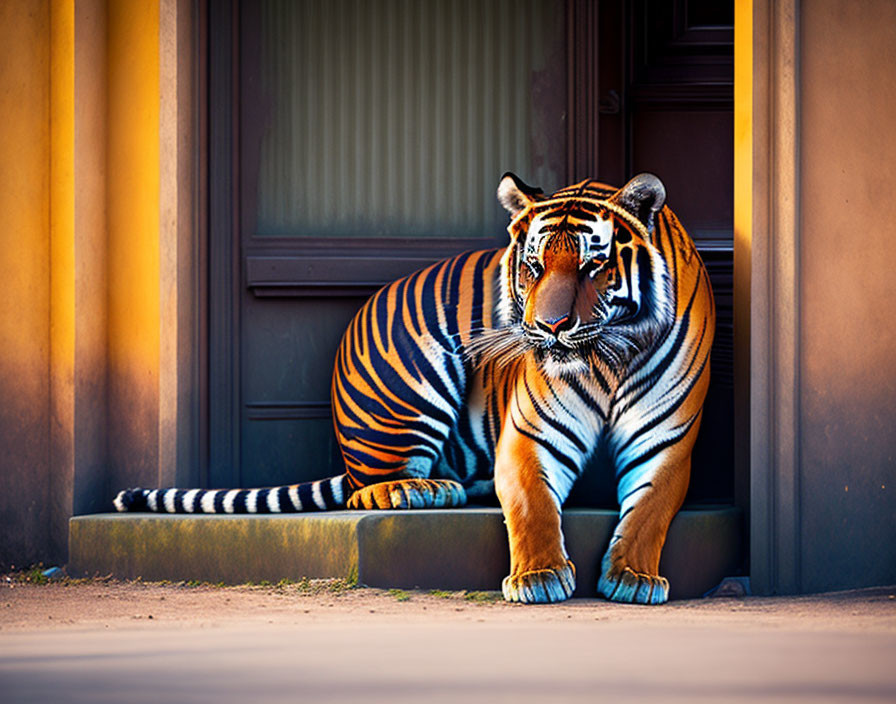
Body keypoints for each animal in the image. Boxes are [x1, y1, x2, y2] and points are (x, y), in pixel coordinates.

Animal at [115, 175, 712, 604]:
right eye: (532, 267)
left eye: (594, 265)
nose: (548, 328)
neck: (608, 359)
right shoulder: (530, 435)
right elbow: (532, 504)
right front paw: (539, 577)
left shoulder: (666, 441)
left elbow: (648, 512)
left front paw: (633, 577)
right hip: (416, 385)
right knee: (366, 488)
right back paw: (419, 490)